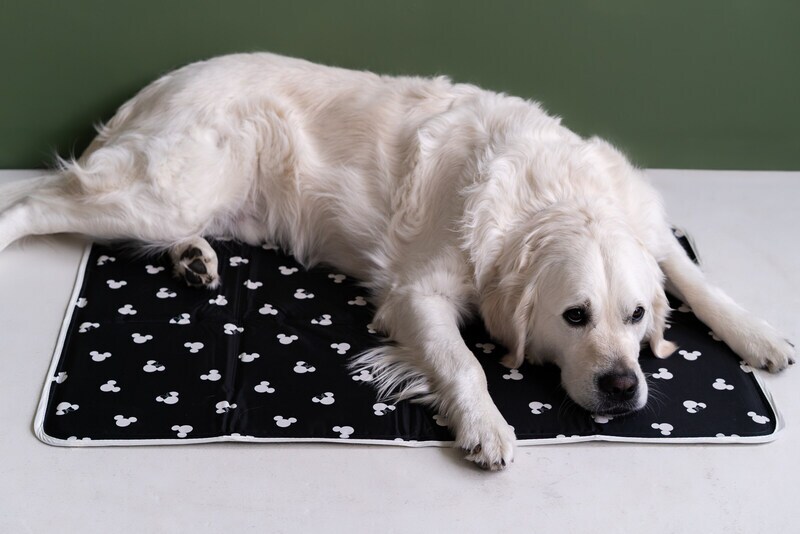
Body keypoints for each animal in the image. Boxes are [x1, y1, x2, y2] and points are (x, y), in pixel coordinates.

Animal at [0, 53, 793, 469]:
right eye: (575, 316)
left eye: (632, 317)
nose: (623, 386)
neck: (549, 192)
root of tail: (161, 82)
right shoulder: (417, 292)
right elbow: (466, 363)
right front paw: (486, 425)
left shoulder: (645, 226)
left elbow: (693, 278)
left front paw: (758, 334)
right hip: (163, 190)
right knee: (36, 203)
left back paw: (194, 260)